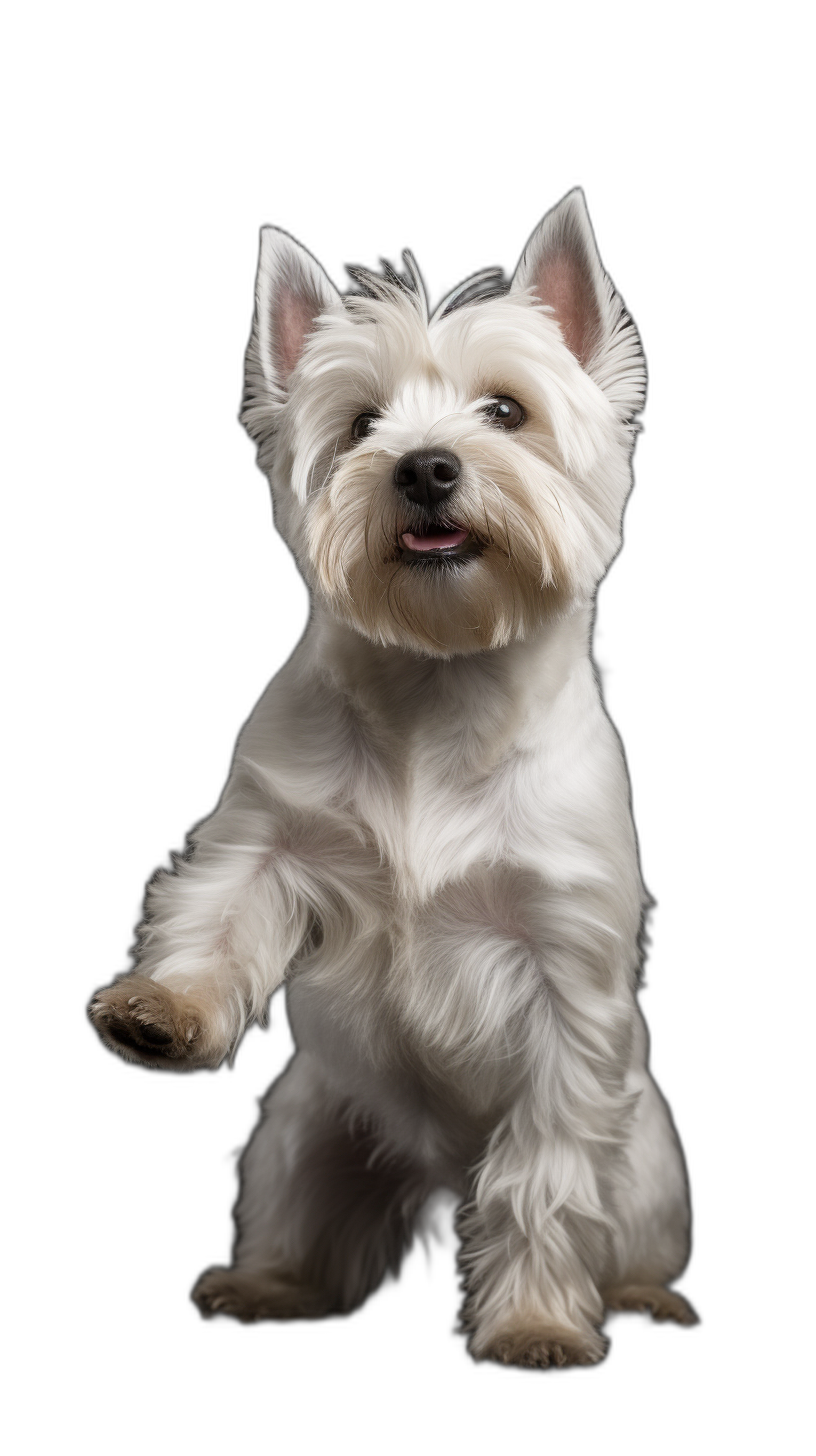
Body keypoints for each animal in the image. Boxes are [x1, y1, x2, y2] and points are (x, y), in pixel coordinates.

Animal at [93, 190, 693, 1362]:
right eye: (363, 425)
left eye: (505, 412)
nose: (424, 465)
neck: (440, 685)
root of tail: (435, 1170)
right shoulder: (270, 834)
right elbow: (215, 913)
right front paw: (160, 1009)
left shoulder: (562, 979)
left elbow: (545, 1178)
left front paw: (536, 1322)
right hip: (305, 1131)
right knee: (311, 1227)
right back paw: (267, 1284)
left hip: (648, 1162)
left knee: (623, 1229)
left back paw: (639, 1294)